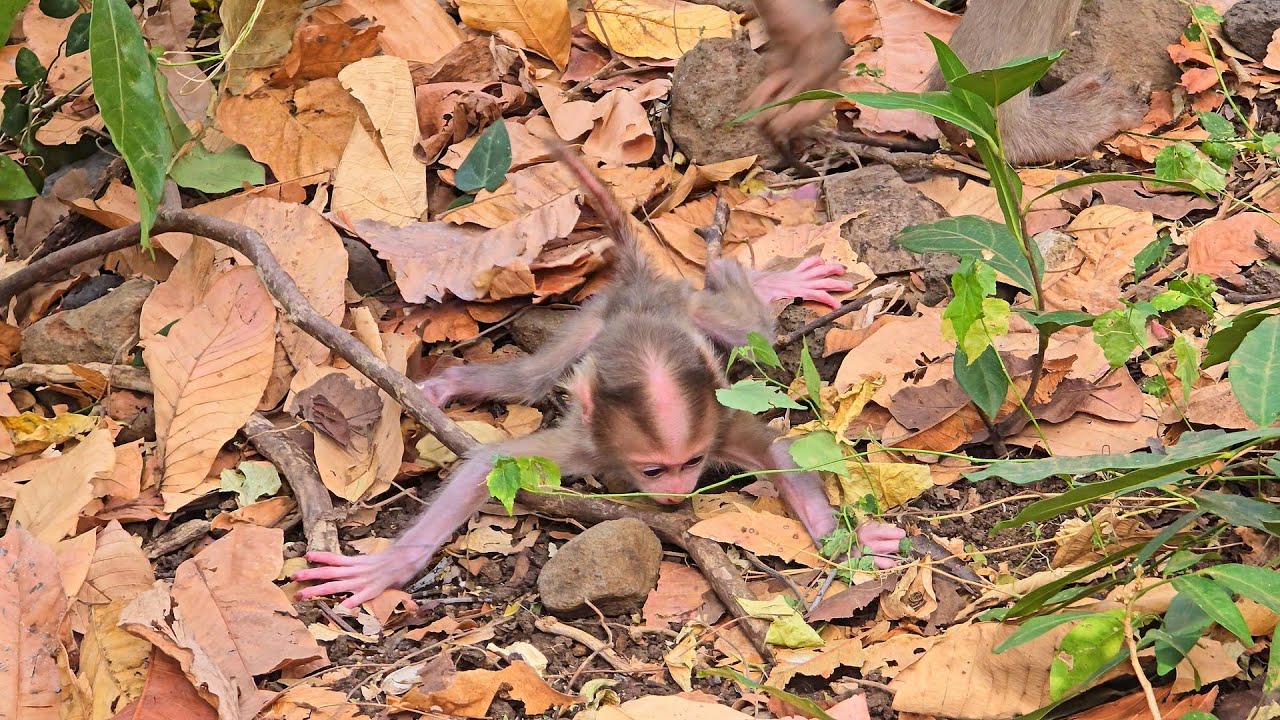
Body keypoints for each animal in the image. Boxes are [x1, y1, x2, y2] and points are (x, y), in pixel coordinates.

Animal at [293, 150, 907, 609]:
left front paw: (847, 540)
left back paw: (761, 282)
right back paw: (450, 385)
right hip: (591, 319)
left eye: (690, 463)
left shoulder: (716, 428)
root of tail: (639, 293)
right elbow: (491, 464)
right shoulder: (587, 446)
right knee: (532, 379)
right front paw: (390, 565)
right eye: (654, 470)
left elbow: (779, 451)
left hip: (687, 309)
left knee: (749, 326)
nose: (679, 491)